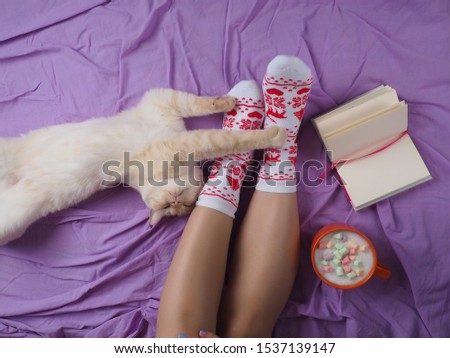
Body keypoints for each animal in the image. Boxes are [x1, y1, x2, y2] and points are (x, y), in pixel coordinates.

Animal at [0, 88, 286, 245]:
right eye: (168, 207)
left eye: (182, 205)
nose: (176, 203)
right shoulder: (181, 135)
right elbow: (229, 137)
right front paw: (275, 134)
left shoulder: (162, 101)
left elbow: (199, 105)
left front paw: (228, 103)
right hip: (11, 223)